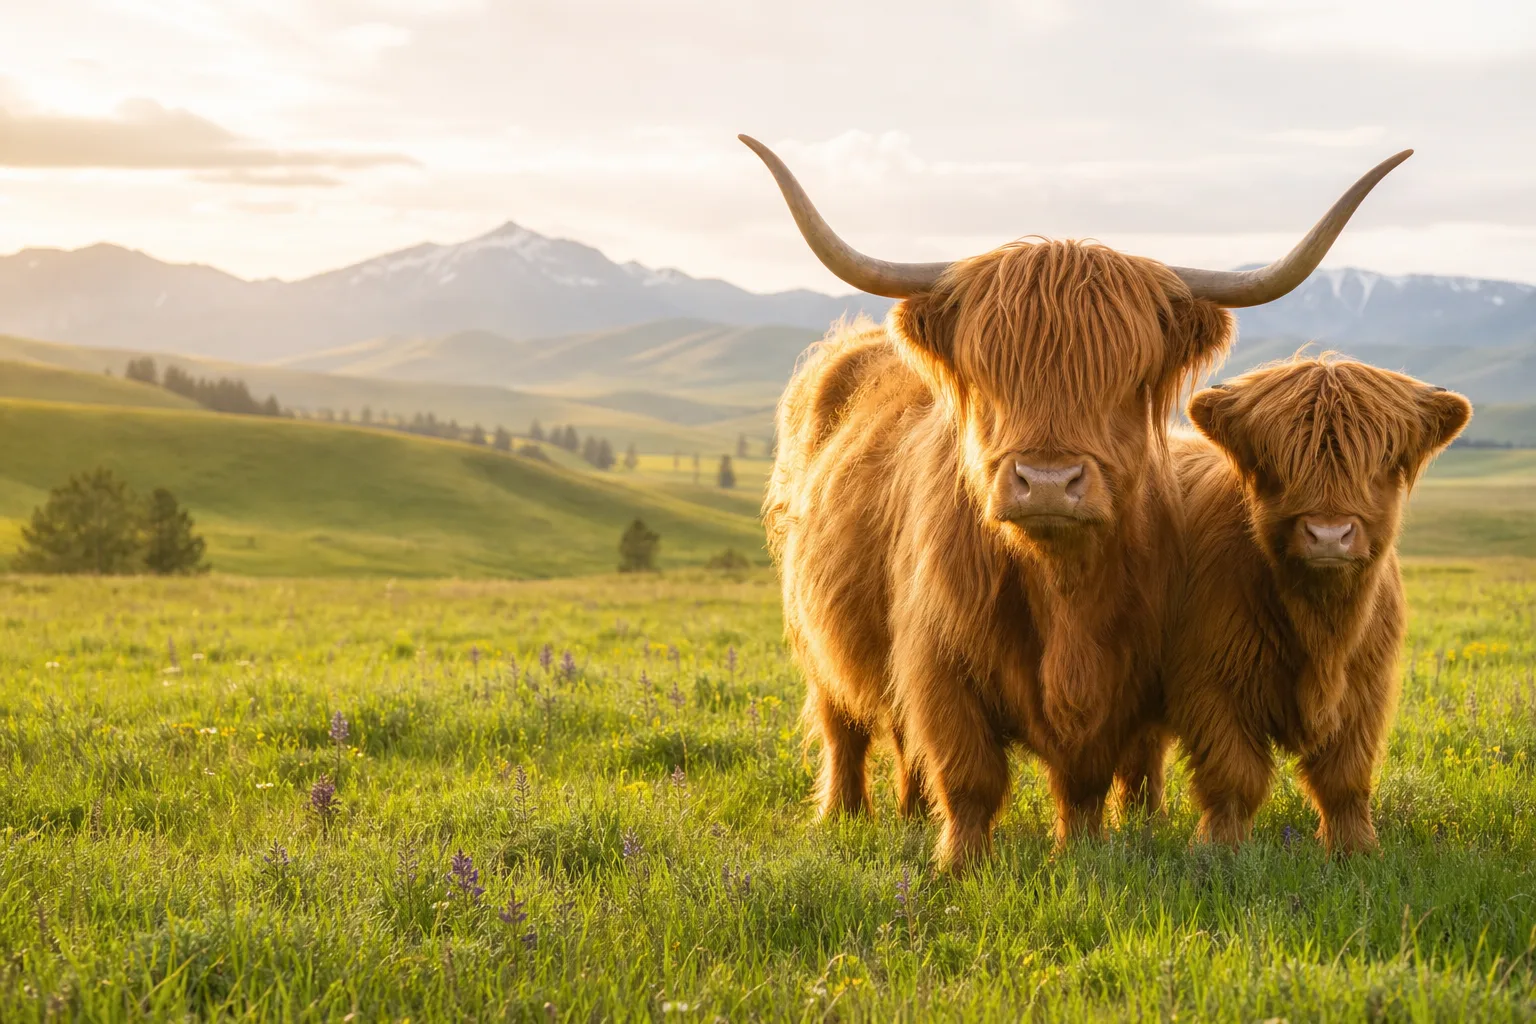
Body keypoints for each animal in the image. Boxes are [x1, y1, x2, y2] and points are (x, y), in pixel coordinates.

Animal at [745, 134, 1412, 871]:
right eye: (990, 373)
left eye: (1126, 377)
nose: (1046, 480)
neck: (1062, 588)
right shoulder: (939, 664)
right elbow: (969, 775)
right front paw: (959, 867)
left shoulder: (1127, 677)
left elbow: (1087, 777)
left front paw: (1084, 850)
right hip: (815, 630)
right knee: (845, 725)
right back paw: (841, 817)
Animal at [1147, 356, 1469, 853]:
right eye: (1274, 459)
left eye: (1382, 459)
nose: (1329, 535)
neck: (1323, 628)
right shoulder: (1210, 685)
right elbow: (1234, 776)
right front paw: (1221, 850)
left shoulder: (1366, 690)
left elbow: (1345, 778)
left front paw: (1355, 850)